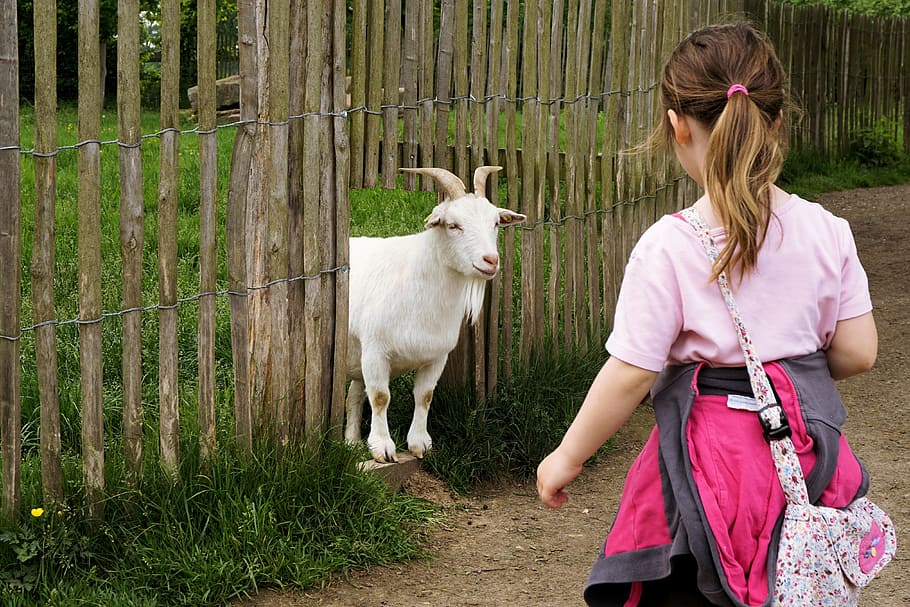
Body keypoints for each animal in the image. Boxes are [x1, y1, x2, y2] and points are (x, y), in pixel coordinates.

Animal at [344, 164, 528, 464]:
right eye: (453, 225)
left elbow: (425, 396)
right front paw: (383, 447)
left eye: (496, 223)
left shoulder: (436, 356)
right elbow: (381, 397)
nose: (491, 260)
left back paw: (350, 441)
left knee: (354, 395)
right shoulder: (375, 351)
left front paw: (420, 443)